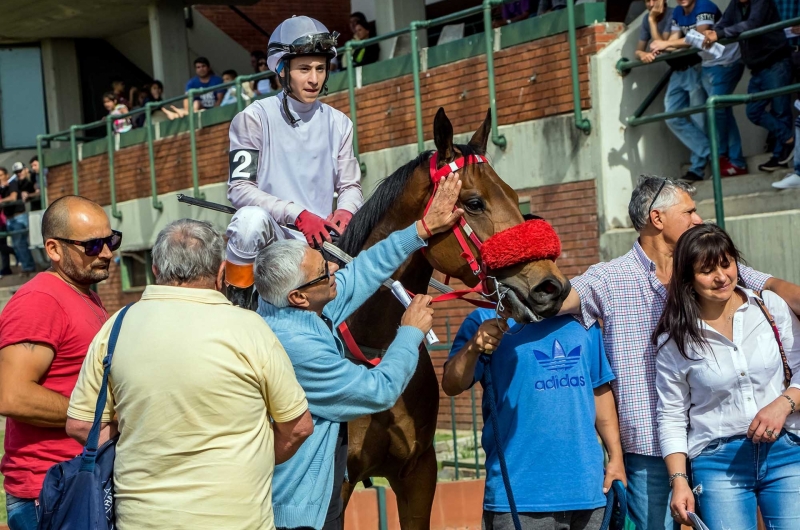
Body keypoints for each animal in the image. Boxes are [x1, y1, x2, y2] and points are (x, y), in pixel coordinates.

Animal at [336, 107, 568, 528]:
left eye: (515, 196)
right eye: (473, 202)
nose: (549, 286)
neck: (375, 351)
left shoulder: (418, 472)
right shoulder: (336, 483)